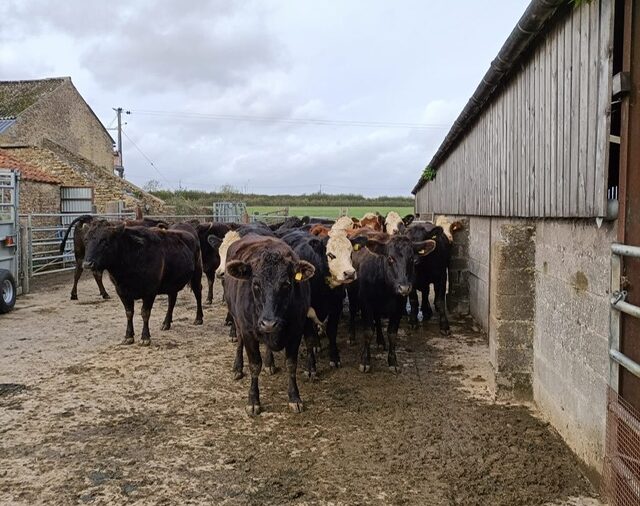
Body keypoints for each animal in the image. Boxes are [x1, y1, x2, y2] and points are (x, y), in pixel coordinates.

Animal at [348, 231, 438, 374]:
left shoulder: (398, 308)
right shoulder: (366, 304)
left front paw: (393, 361)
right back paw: (352, 337)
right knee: (352, 311)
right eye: (390, 258)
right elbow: (368, 332)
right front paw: (365, 361)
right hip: (352, 294)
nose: (404, 288)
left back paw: (380, 341)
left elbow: (392, 334)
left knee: (378, 320)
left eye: (411, 259)